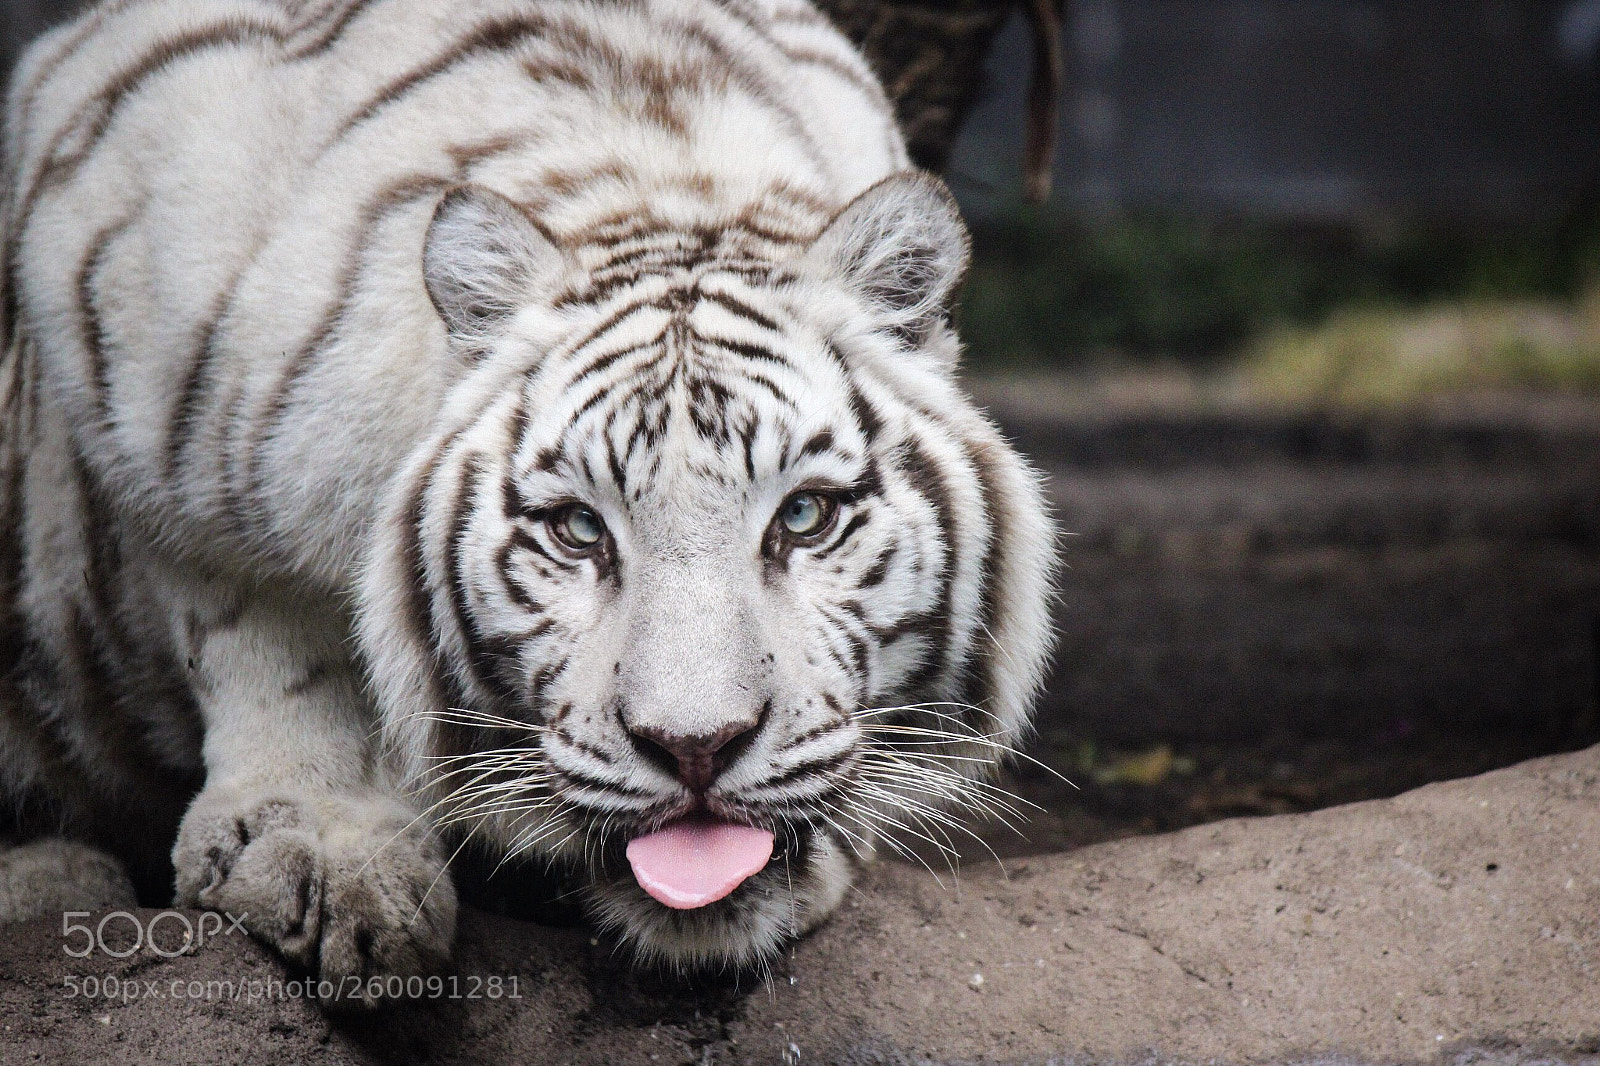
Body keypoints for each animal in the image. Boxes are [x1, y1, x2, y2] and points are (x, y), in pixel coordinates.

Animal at [0, 0, 1057, 1006]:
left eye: (804, 517)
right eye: (578, 530)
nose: (696, 750)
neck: (662, 174)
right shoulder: (139, 375)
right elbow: (269, 638)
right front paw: (327, 853)